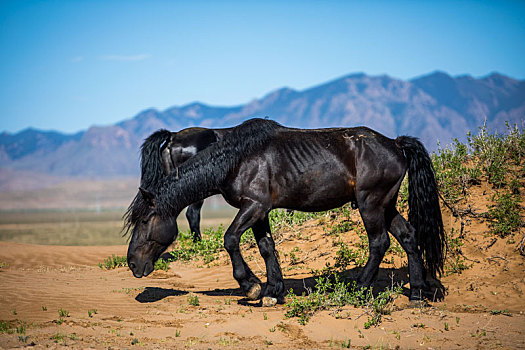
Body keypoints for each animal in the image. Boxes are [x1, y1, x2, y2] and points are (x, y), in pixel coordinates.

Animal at [125, 118, 444, 304]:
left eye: (145, 220)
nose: (132, 264)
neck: (237, 158)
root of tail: (396, 144)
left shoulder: (254, 206)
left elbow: (230, 240)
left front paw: (251, 286)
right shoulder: (259, 211)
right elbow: (267, 247)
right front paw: (272, 291)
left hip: (371, 204)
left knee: (379, 243)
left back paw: (359, 290)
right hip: (386, 205)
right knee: (408, 236)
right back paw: (417, 293)